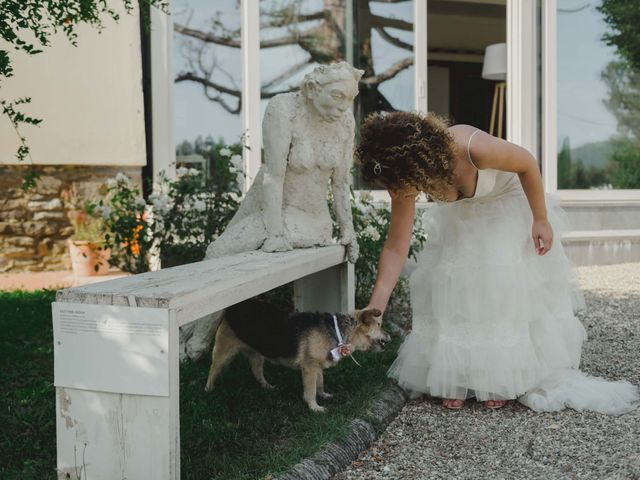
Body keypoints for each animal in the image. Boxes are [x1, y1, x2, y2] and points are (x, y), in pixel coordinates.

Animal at [205, 298, 390, 410]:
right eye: (379, 325)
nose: (390, 336)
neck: (340, 331)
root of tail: (234, 308)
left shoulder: (317, 367)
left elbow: (320, 383)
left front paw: (323, 395)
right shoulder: (309, 368)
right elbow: (310, 390)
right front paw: (314, 407)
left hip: (257, 355)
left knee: (257, 372)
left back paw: (267, 387)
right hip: (223, 351)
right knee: (213, 370)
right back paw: (209, 389)